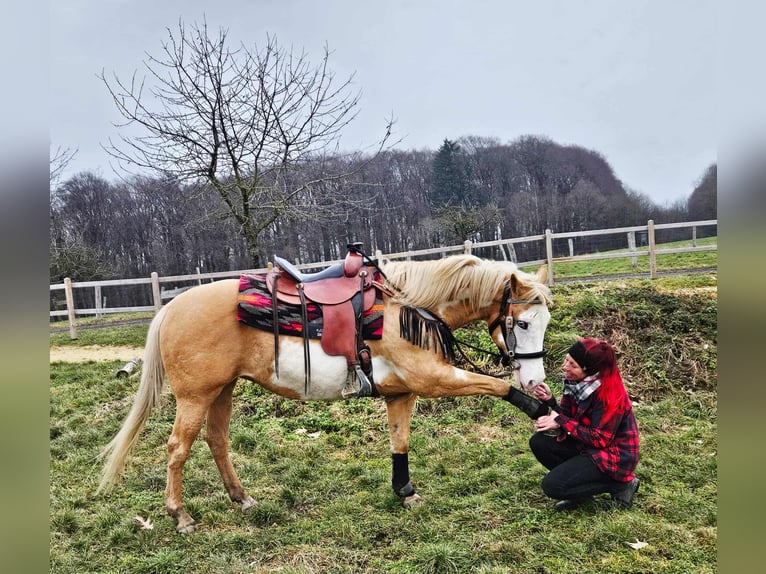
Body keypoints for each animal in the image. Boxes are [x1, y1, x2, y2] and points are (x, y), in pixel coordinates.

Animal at [98, 253, 552, 533]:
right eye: (523, 324)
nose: (536, 379)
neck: (407, 307)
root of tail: (170, 308)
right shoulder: (433, 378)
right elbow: (497, 385)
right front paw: (541, 408)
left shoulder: (401, 393)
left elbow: (400, 442)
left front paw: (404, 492)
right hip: (196, 396)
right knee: (178, 448)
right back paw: (181, 516)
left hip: (222, 390)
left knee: (217, 440)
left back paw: (241, 498)